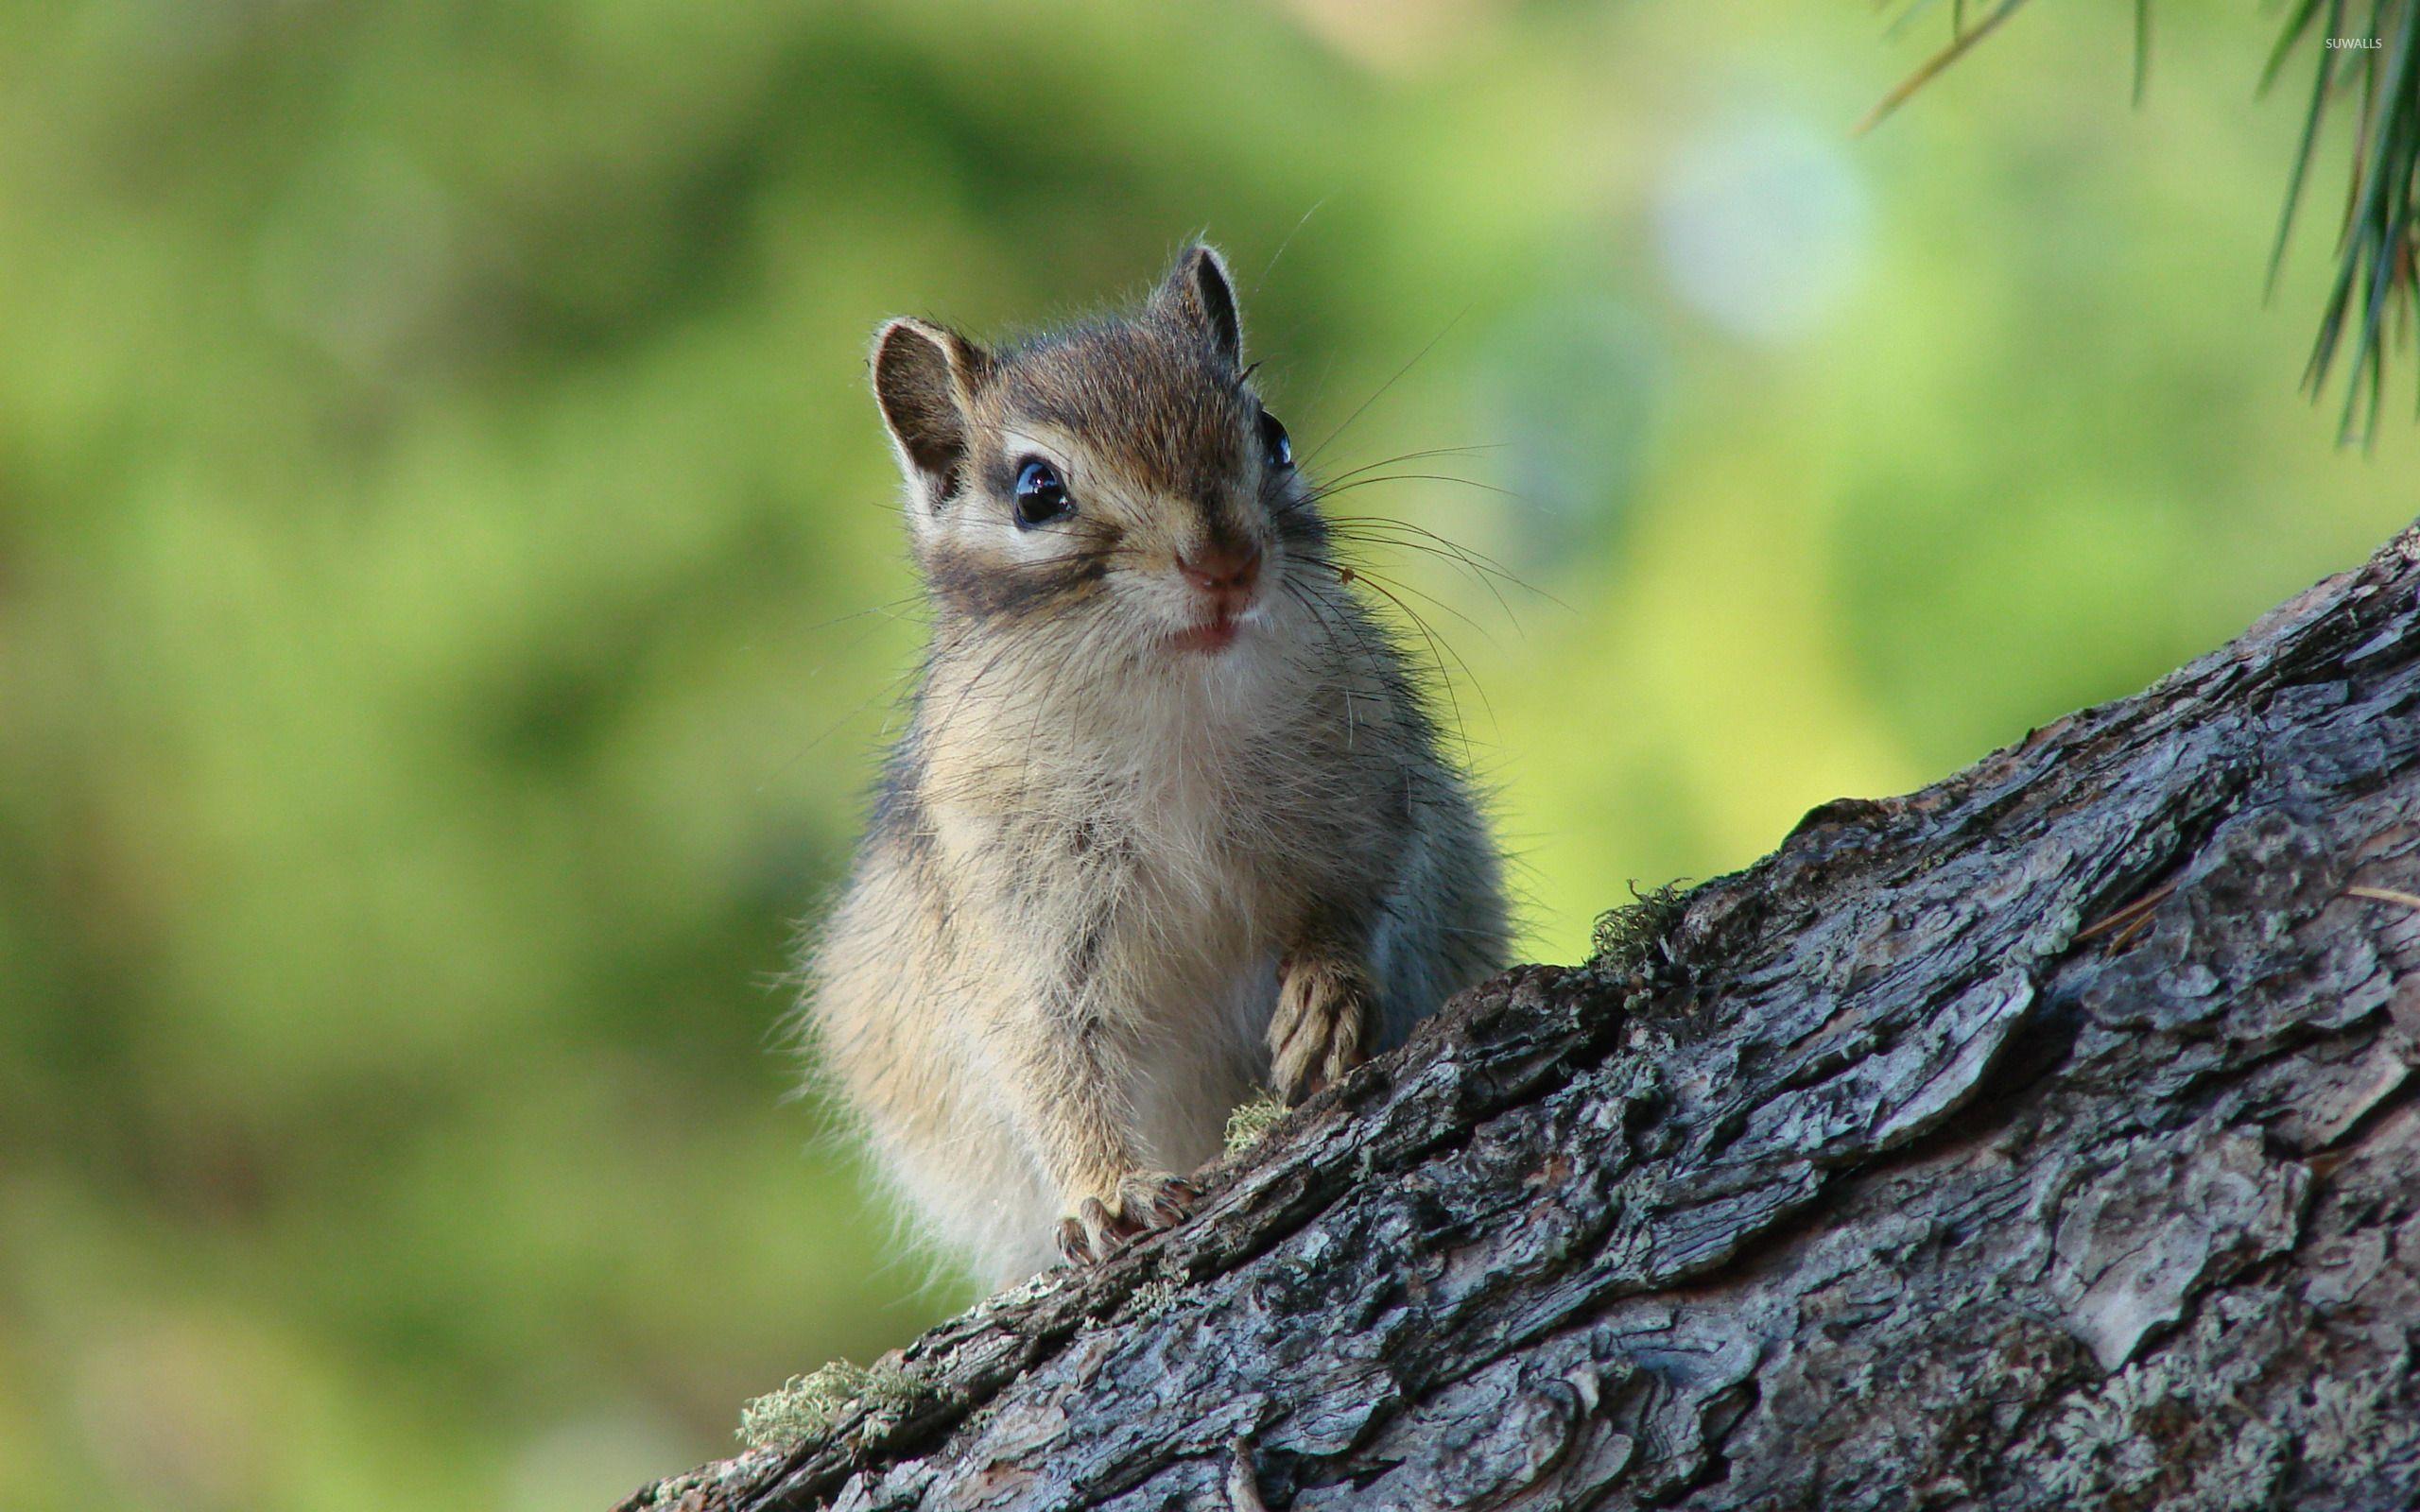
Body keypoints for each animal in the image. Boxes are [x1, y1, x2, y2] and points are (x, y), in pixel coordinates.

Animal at [801, 244, 1510, 1285]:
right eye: (1035, 493)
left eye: (1273, 435)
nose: (1226, 562)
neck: (1173, 700)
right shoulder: (1017, 913)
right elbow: (1048, 1059)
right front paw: (1106, 1191)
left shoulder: (1371, 794)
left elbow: (1355, 901)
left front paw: (1324, 997)